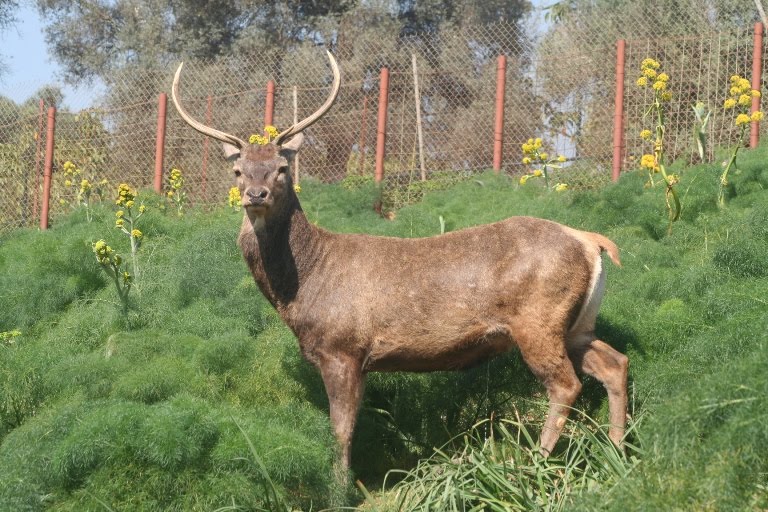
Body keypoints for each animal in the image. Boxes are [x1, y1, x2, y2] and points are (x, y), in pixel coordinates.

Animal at [171, 51, 629, 472]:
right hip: (577, 323)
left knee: (566, 385)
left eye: (282, 167)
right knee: (615, 363)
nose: (256, 195)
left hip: (538, 319)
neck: (302, 289)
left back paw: (535, 462)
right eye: (238, 171)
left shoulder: (344, 348)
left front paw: (343, 488)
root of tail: (591, 242)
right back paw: (617, 451)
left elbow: (341, 430)